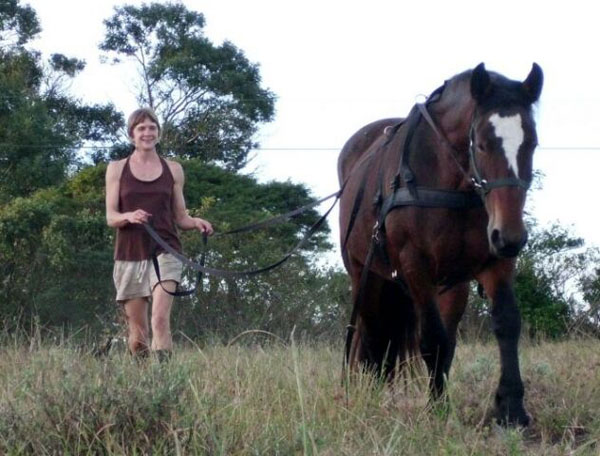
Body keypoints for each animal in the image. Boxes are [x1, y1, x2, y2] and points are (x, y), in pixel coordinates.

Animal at [338, 62, 544, 426]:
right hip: (365, 274)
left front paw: (512, 408)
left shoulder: (495, 263)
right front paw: (437, 410)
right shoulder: (414, 264)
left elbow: (505, 324)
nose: (510, 237)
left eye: (531, 143)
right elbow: (432, 338)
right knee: (373, 333)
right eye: (482, 144)